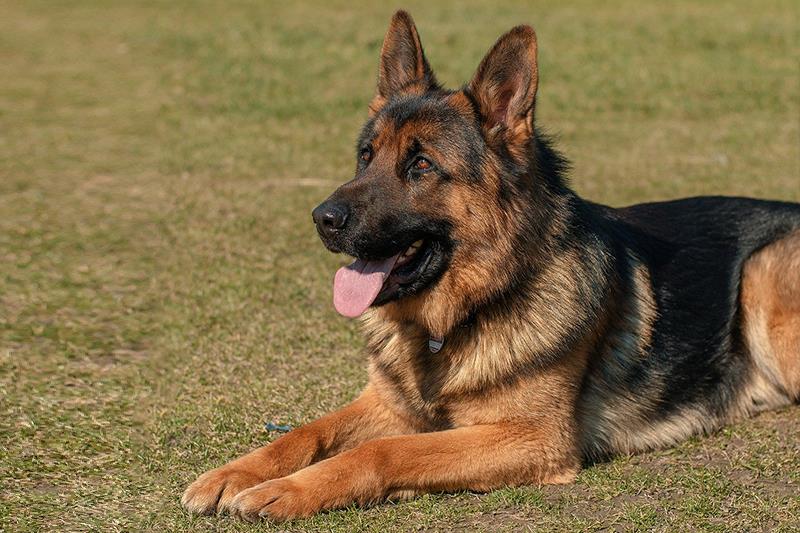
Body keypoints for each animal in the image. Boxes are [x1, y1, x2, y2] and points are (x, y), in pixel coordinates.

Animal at [183, 10, 800, 520]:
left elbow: (385, 451)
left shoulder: (531, 438)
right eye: (366, 156)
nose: (321, 218)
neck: (460, 317)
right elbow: (305, 432)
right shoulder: (386, 402)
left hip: (762, 282)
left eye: (422, 166)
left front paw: (287, 490)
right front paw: (236, 473)